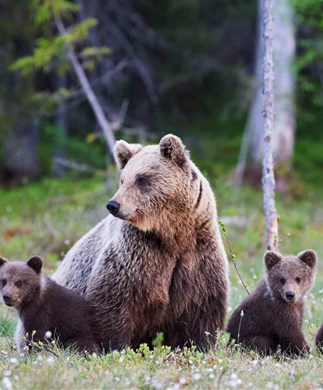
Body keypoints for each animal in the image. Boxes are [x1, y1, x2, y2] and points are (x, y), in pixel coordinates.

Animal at [52, 134, 230, 350]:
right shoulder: (137, 254)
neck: (172, 234)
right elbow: (113, 302)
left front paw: (200, 345)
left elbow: (203, 309)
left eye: (142, 179)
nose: (113, 204)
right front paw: (114, 346)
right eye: (123, 179)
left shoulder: (198, 255)